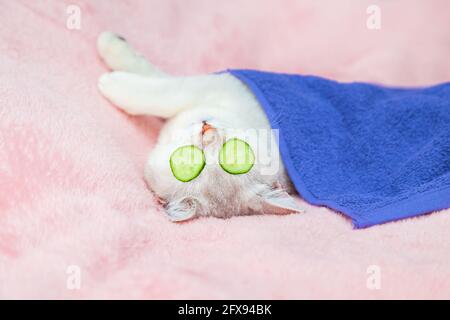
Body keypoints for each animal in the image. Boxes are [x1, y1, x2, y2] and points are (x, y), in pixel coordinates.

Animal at [97, 33, 304, 222]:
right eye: (237, 153)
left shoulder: (209, 86)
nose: (207, 130)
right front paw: (114, 45)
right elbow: (157, 77)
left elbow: (162, 94)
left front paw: (112, 81)